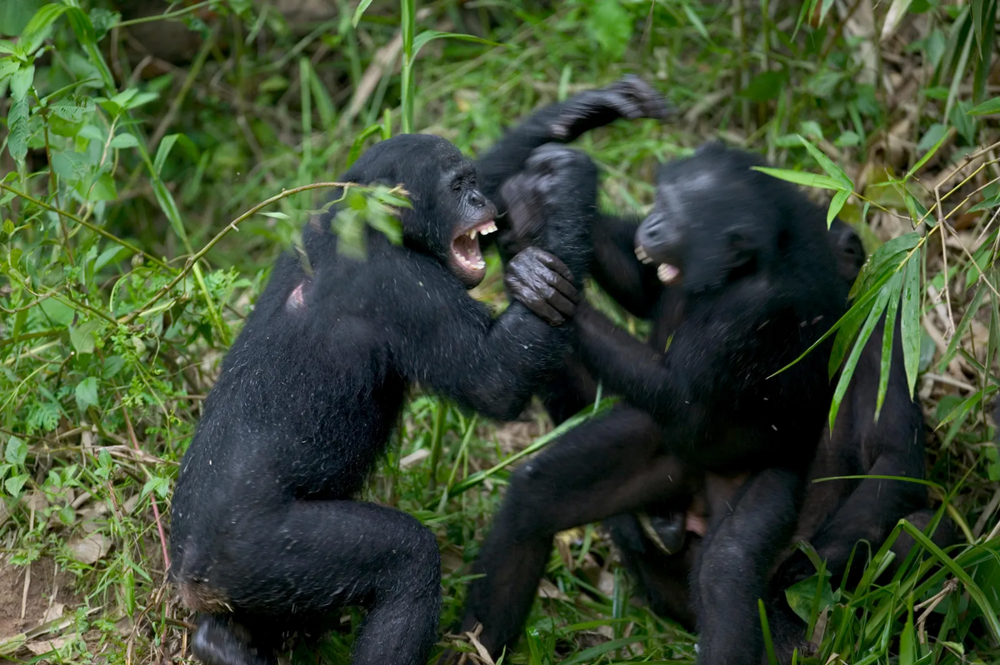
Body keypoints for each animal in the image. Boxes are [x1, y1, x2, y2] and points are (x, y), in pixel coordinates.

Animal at [170, 79, 672, 664]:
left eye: (474, 181)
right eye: (456, 187)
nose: (481, 201)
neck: (370, 225)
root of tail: (184, 576)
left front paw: (585, 111)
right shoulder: (399, 286)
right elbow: (493, 378)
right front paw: (565, 187)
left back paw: (224, 642)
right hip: (258, 552)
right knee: (405, 561)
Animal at [454, 144, 852, 664]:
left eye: (677, 215)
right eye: (660, 200)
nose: (654, 223)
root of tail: (698, 496)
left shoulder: (752, 309)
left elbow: (678, 393)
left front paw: (539, 278)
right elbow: (643, 290)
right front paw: (551, 189)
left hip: (772, 475)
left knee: (725, 572)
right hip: (663, 454)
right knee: (534, 498)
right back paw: (472, 647)